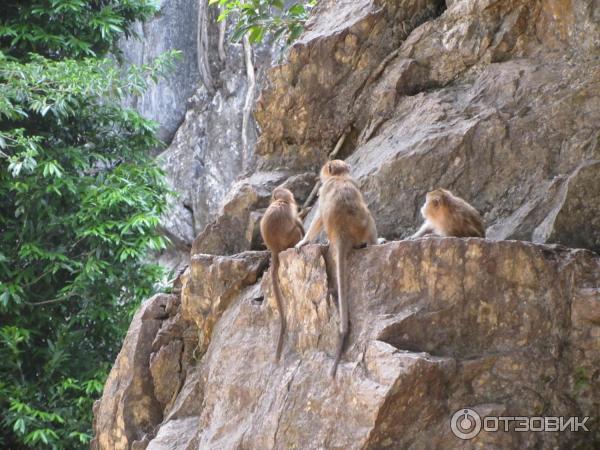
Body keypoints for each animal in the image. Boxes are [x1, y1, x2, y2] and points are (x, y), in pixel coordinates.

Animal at [258, 188, 304, 360]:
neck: (283, 201)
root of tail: (275, 248)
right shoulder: (291, 210)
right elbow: (297, 223)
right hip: (289, 239)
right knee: (295, 230)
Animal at [292, 160, 378, 378]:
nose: (319, 175)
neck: (338, 177)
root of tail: (342, 233)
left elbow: (319, 217)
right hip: (364, 226)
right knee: (369, 217)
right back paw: (376, 242)